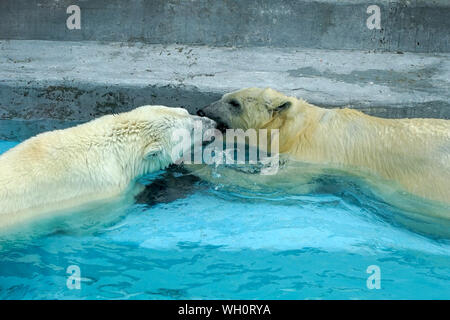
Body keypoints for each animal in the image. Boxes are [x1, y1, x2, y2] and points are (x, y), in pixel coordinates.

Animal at [197, 87, 450, 211]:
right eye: (223, 96)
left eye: (235, 103)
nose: (202, 110)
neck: (299, 129)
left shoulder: (309, 156)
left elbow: (275, 183)